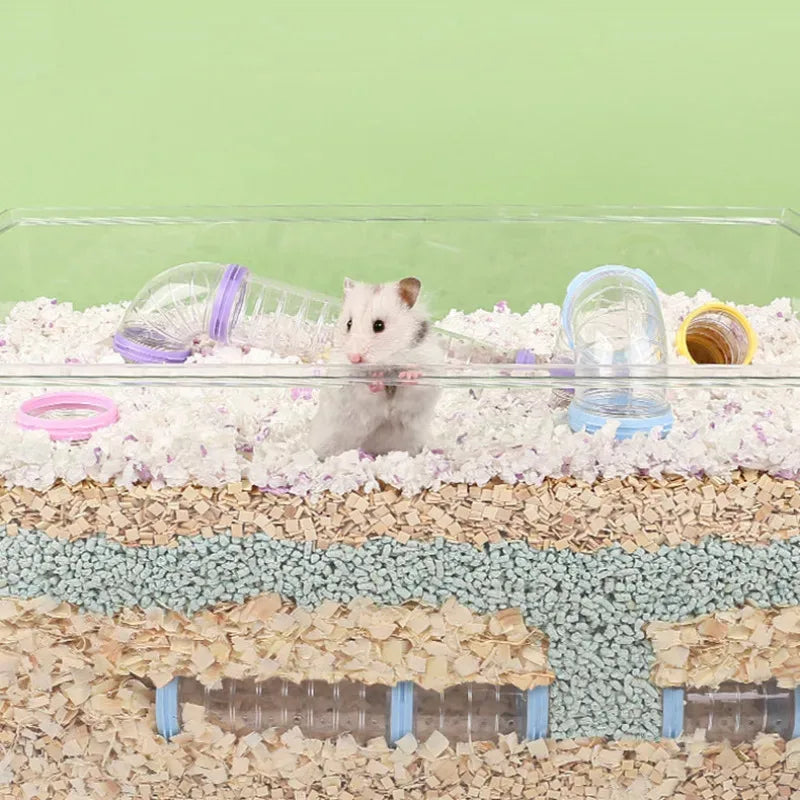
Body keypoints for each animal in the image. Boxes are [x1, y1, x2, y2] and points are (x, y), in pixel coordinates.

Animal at [309, 276, 441, 458]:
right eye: (349, 323)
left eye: (379, 325)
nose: (354, 358)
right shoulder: (351, 388)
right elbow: (367, 392)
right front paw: (376, 379)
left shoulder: (429, 375)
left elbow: (413, 386)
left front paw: (408, 375)